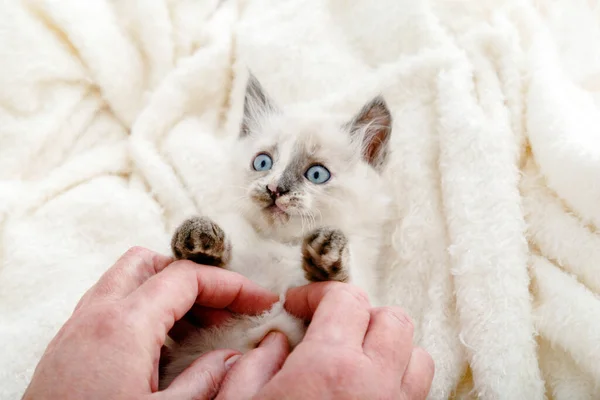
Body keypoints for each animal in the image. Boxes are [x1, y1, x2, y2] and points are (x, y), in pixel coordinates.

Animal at [159, 73, 394, 390]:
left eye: (317, 174)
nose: (274, 189)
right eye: (263, 162)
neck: (281, 246)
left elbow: (345, 283)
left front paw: (327, 255)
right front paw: (199, 240)